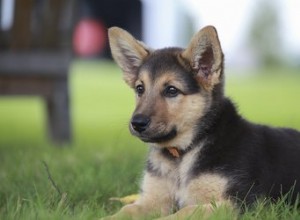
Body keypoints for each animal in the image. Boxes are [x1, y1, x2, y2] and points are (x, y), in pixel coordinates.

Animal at [102, 25, 300, 218]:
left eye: (171, 90)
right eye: (140, 89)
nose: (137, 123)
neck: (183, 152)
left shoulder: (238, 203)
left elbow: (183, 212)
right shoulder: (152, 200)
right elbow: (125, 211)